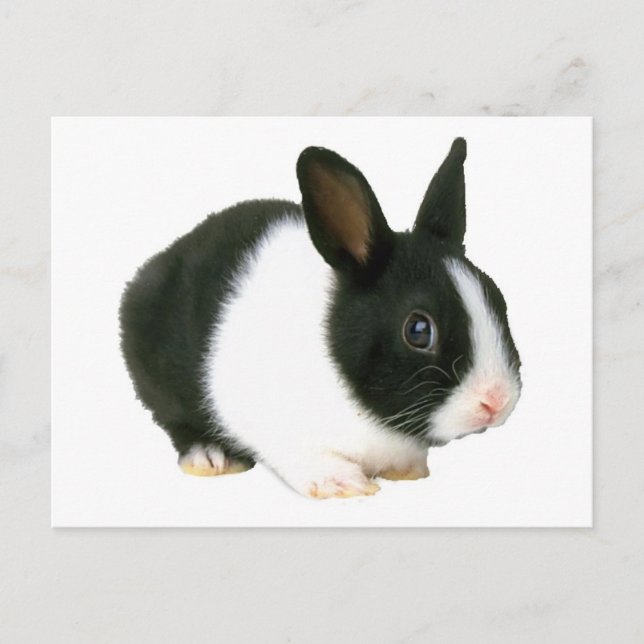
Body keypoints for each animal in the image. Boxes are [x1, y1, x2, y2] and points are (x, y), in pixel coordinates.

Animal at [119, 137, 522, 499]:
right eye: (418, 330)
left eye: (498, 299)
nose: (496, 401)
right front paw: (343, 485)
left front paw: (406, 471)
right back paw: (211, 457)